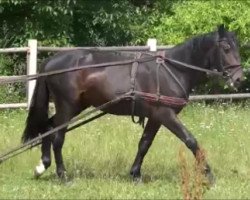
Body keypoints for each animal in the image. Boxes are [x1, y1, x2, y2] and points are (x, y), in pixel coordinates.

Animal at [21, 25, 242, 183]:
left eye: (238, 47)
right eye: (226, 48)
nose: (240, 78)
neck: (172, 70)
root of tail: (50, 62)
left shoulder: (155, 117)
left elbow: (144, 144)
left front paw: (135, 173)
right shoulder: (166, 114)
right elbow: (190, 140)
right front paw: (208, 174)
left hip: (76, 106)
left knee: (48, 127)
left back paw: (42, 166)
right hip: (67, 106)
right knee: (58, 137)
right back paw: (63, 175)